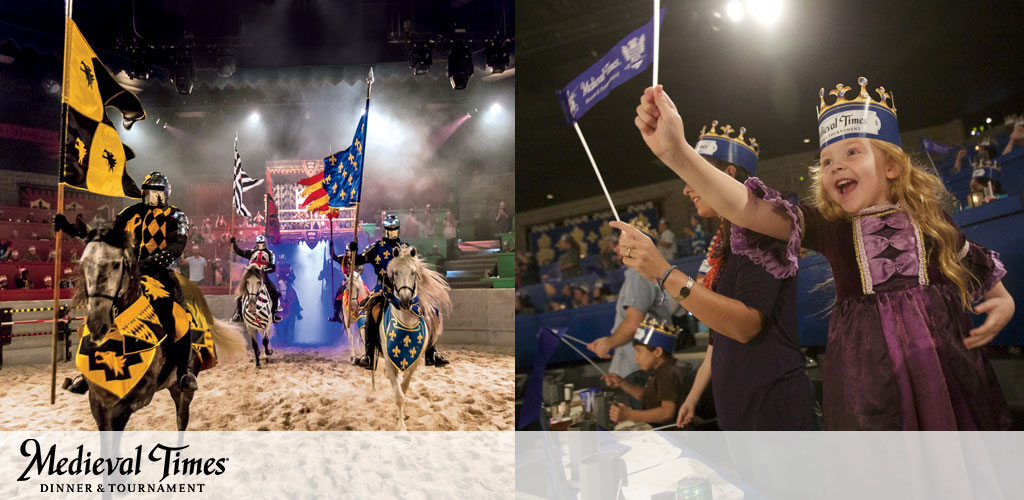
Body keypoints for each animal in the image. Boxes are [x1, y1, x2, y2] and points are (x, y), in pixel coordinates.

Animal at [72, 225, 245, 430]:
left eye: (116, 264)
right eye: (84, 263)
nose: (97, 322)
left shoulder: (136, 399)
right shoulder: (98, 403)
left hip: (182, 390)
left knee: (181, 419)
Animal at [370, 245, 446, 430]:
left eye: (413, 272)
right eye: (395, 272)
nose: (405, 301)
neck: (406, 323)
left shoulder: (413, 363)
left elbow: (403, 389)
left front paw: (402, 418)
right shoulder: (390, 361)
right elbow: (399, 395)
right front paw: (401, 427)